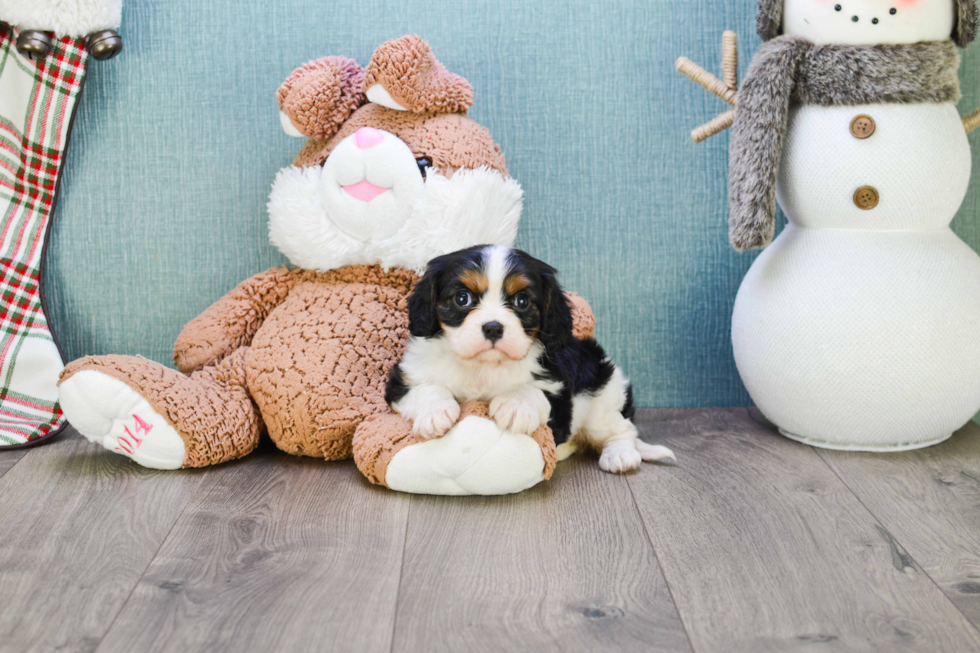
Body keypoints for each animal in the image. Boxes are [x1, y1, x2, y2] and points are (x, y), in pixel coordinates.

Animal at [386, 244, 676, 474]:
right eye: (462, 298)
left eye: (522, 301)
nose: (493, 327)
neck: (484, 366)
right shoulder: (403, 379)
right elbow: (427, 387)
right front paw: (436, 412)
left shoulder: (560, 394)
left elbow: (534, 391)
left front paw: (516, 404)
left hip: (602, 398)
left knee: (622, 431)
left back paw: (620, 454)